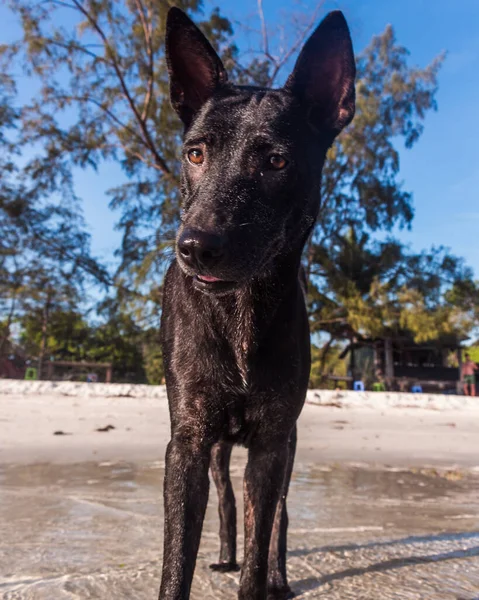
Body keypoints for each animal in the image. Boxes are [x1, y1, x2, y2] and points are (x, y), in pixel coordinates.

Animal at [159, 7, 354, 596]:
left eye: (276, 161)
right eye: (195, 153)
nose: (195, 247)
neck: (240, 312)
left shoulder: (272, 445)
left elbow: (265, 530)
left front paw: (263, 577)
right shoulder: (189, 445)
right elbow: (177, 564)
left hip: (285, 446)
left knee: (279, 519)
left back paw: (279, 576)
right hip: (220, 451)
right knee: (226, 500)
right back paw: (225, 554)